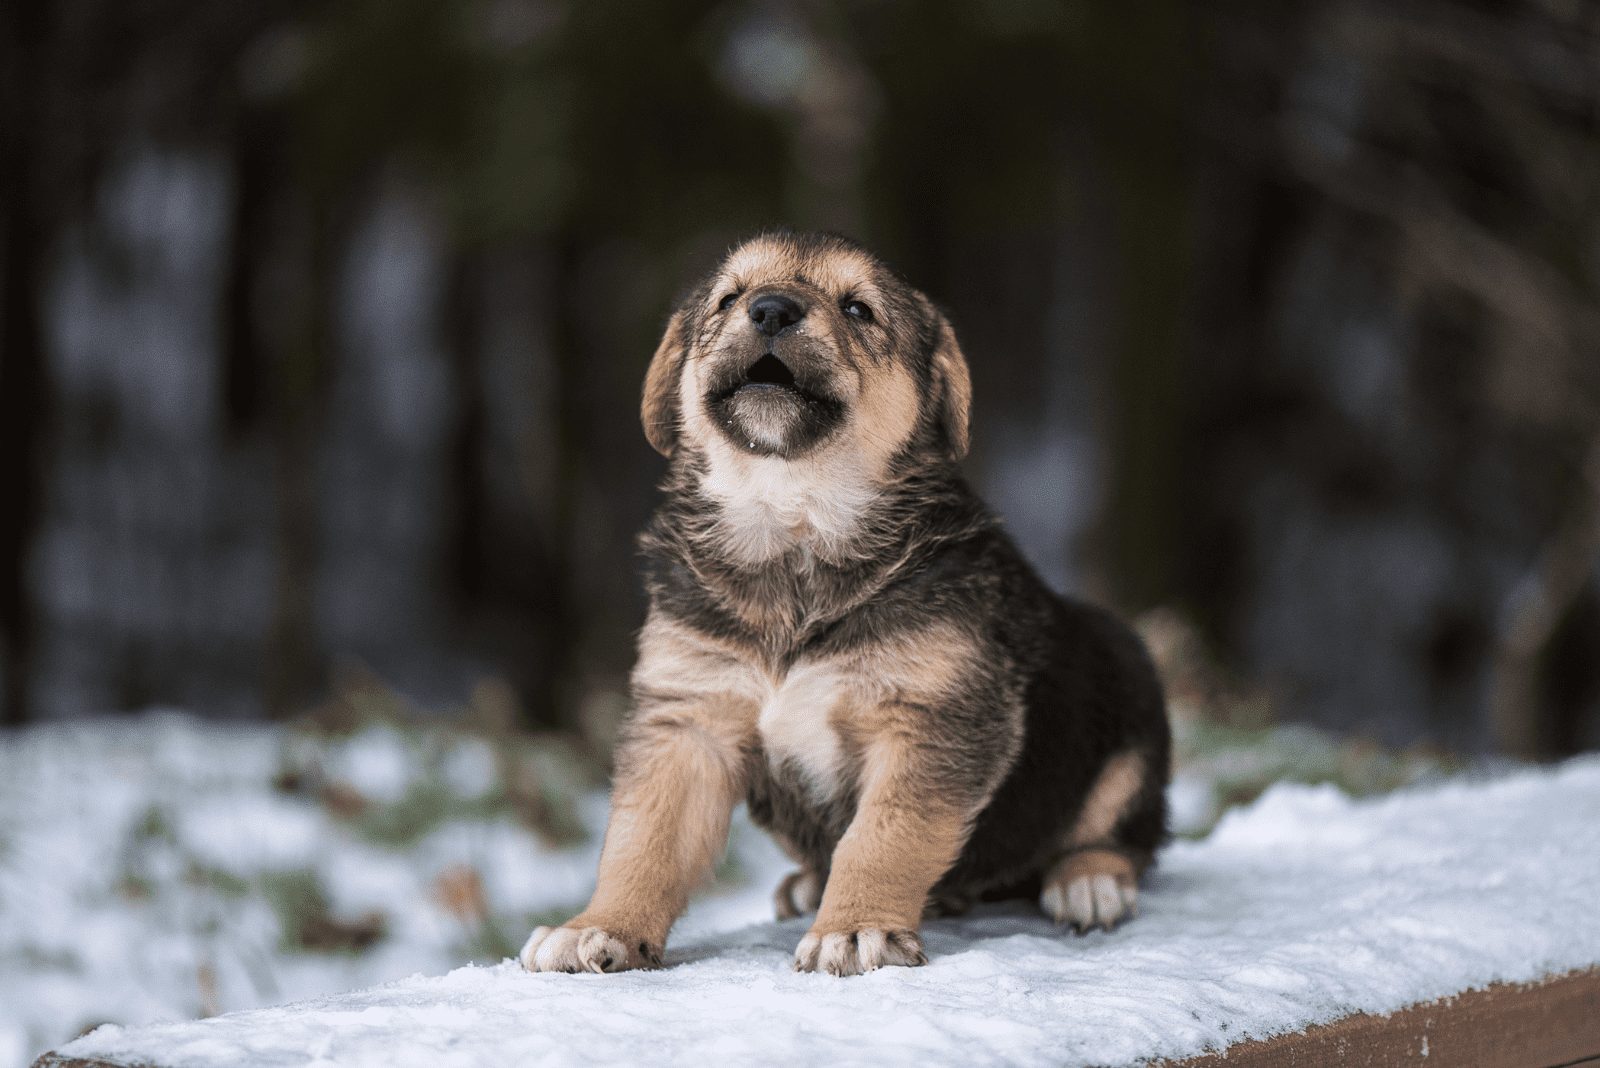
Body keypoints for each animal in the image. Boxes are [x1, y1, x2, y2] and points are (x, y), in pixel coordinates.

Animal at [518, 231, 1171, 978]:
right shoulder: (687, 720)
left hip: (1127, 689)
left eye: (859, 309)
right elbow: (642, 837)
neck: (794, 523)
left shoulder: (932, 719)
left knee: (1123, 833)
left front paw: (855, 928)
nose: (770, 309)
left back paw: (1089, 880)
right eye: (730, 298)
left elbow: (885, 835)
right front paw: (599, 926)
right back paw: (810, 884)